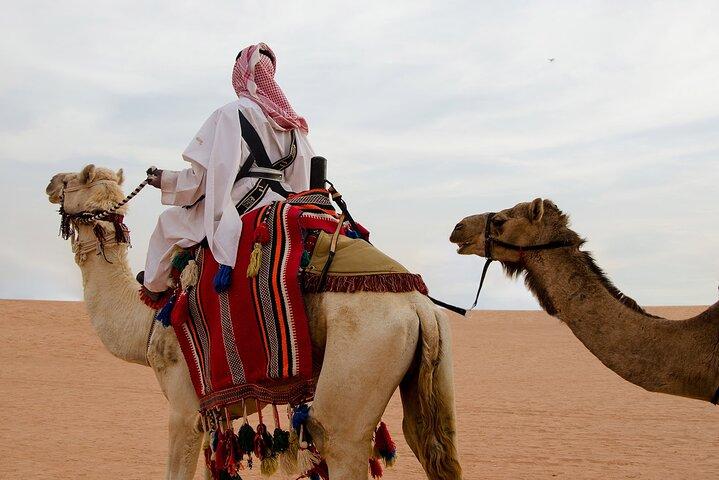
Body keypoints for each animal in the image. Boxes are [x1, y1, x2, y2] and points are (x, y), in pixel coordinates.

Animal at [46, 164, 462, 480]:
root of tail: (419, 306)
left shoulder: (184, 409)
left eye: (71, 181)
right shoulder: (215, 414)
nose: (49, 183)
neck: (147, 320)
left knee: (337, 437)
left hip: (362, 360)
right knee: (428, 444)